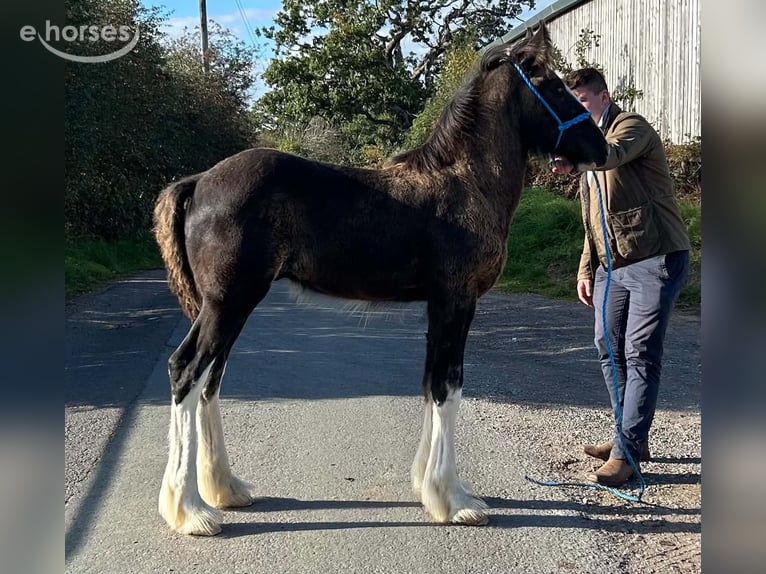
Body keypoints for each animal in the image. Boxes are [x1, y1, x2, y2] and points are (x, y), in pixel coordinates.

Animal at [152, 23, 607, 536]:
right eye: (554, 86)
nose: (602, 149)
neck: (462, 183)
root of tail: (198, 182)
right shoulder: (456, 301)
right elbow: (449, 386)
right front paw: (455, 502)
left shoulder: (437, 307)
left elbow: (431, 382)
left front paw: (429, 488)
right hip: (228, 303)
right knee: (187, 370)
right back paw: (192, 511)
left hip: (228, 306)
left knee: (211, 379)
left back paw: (226, 490)